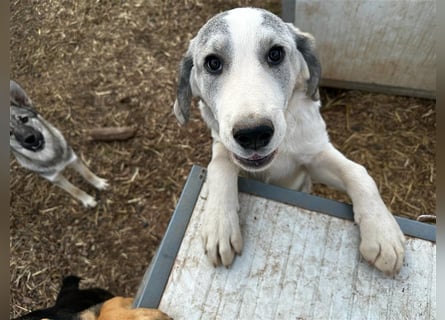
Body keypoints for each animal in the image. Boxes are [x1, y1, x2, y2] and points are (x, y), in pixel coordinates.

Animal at [9, 80, 108, 208]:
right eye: (9, 133)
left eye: (24, 119)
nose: (29, 138)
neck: (50, 155)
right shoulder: (55, 178)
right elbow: (74, 190)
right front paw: (87, 200)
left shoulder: (73, 159)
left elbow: (87, 174)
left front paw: (99, 183)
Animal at [173, 8, 406, 276]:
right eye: (213, 63)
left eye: (275, 54)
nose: (254, 134)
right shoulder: (222, 144)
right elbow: (219, 165)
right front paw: (219, 223)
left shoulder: (314, 157)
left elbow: (358, 172)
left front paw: (382, 233)